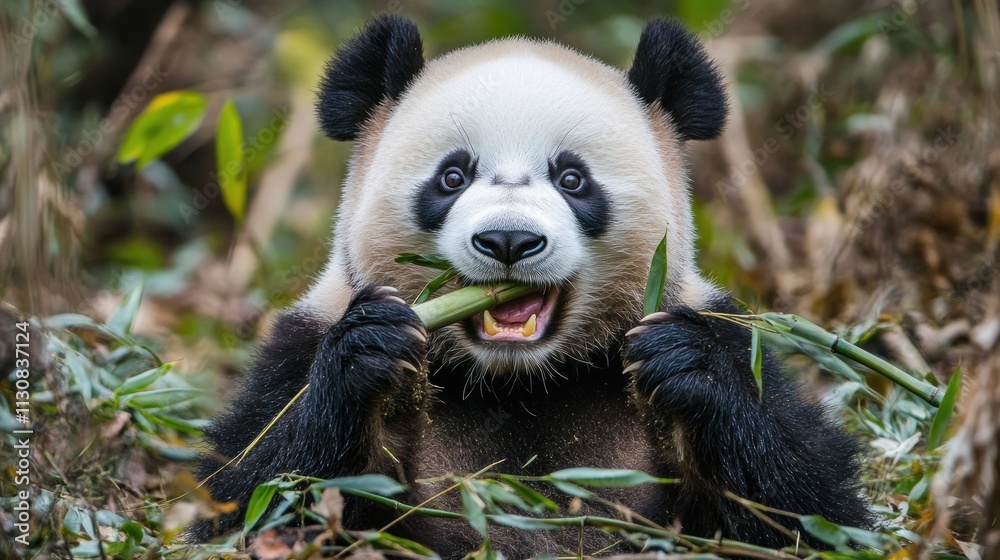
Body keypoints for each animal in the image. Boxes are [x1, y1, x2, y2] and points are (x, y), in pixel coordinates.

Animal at [190, 15, 871, 556]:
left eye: (572, 178)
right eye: (453, 176)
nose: (509, 241)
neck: (515, 382)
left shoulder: (727, 335)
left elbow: (808, 511)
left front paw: (685, 364)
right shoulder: (302, 343)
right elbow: (249, 495)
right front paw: (371, 351)